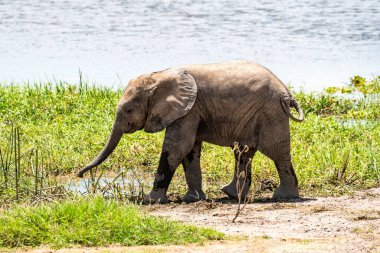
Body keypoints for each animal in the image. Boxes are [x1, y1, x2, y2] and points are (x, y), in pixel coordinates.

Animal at [76, 60, 302, 204]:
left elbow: (176, 148)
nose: (80, 174)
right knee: (244, 153)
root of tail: (287, 93)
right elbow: (190, 152)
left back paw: (283, 197)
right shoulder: (190, 112)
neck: (160, 76)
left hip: (271, 113)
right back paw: (231, 195)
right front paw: (192, 199)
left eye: (128, 110)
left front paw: (150, 200)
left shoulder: (189, 110)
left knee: (277, 153)